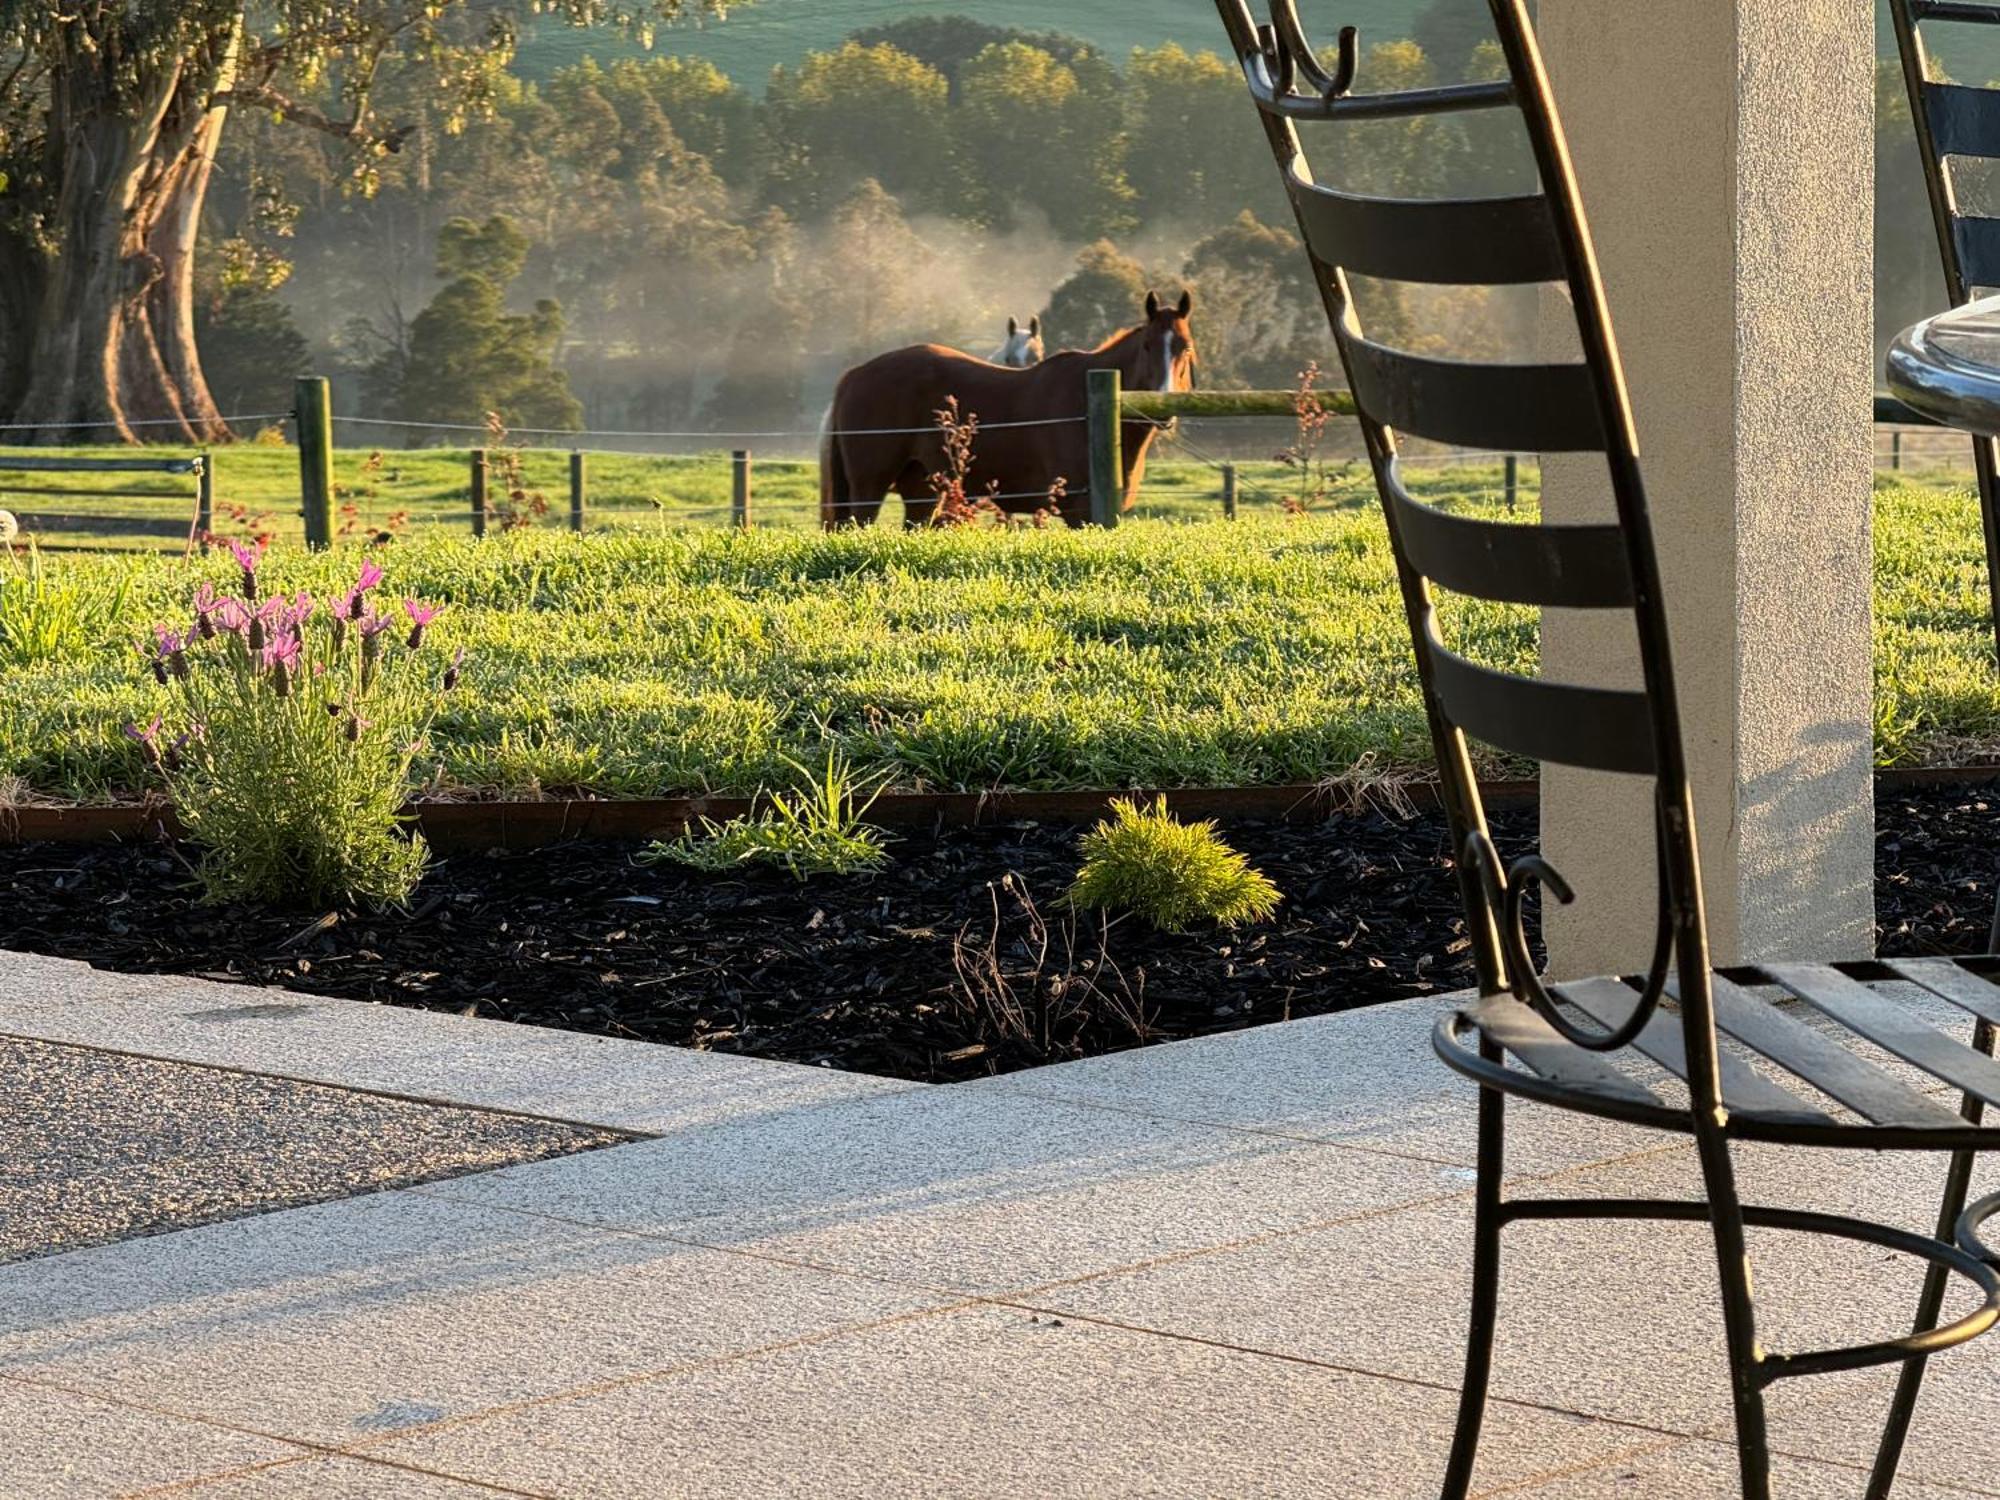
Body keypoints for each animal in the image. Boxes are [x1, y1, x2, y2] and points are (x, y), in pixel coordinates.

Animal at [820, 290, 1192, 532]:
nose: (1164, 407)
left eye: (1185, 348)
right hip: (869, 489)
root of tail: (855, 374)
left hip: (921, 493)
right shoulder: (1080, 514)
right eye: (1147, 346)